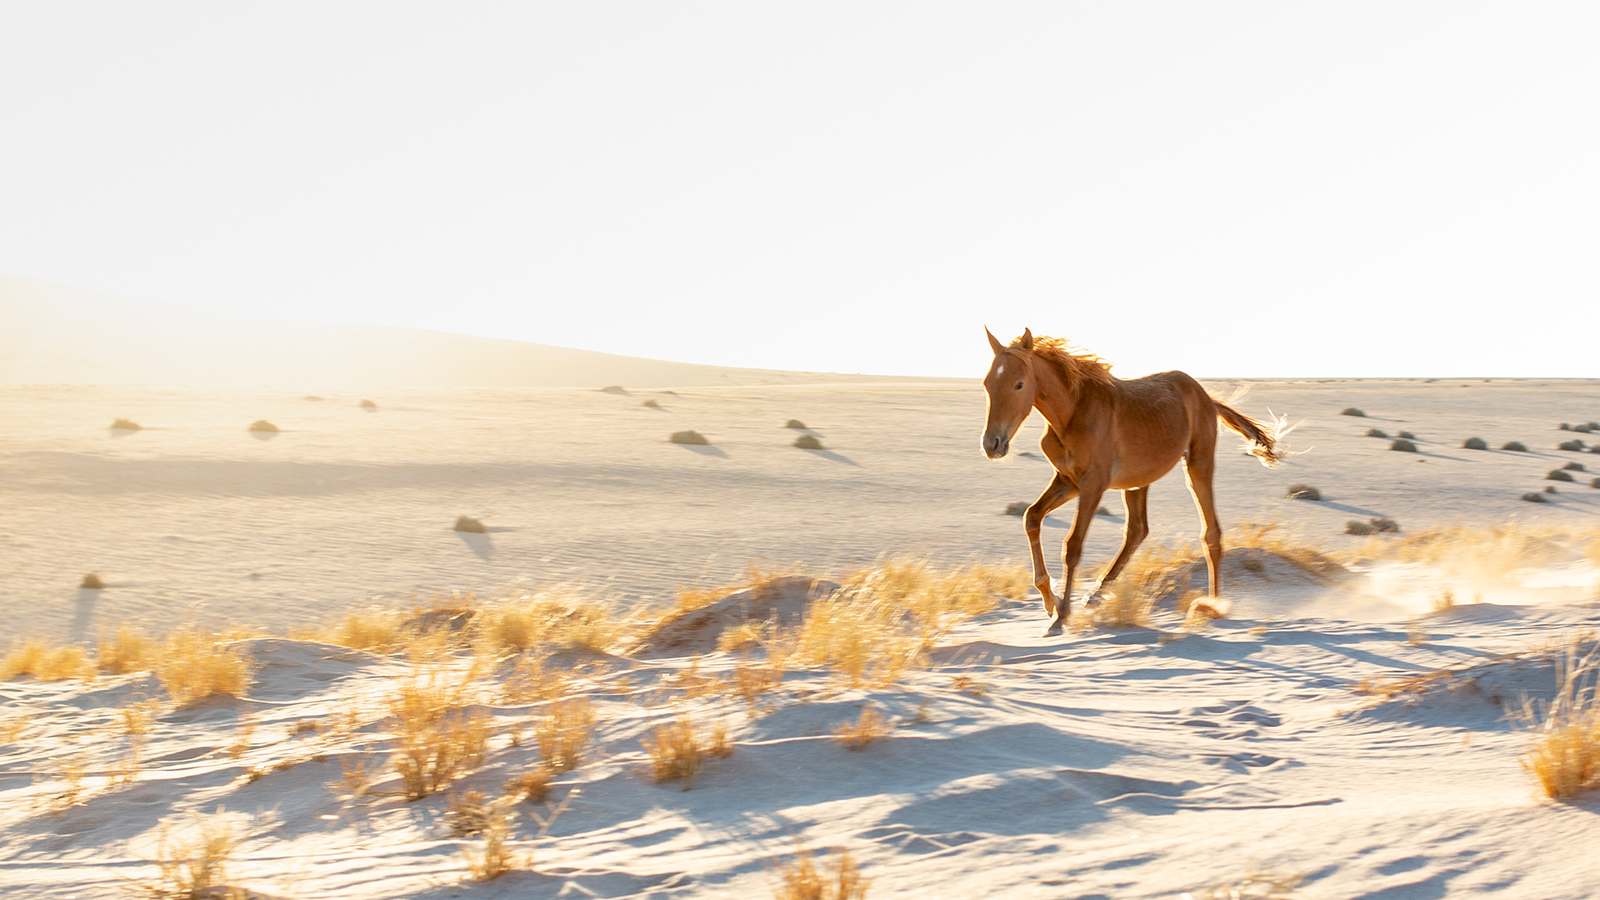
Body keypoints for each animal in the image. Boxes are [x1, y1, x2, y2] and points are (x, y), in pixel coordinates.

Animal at [979, 325, 1280, 634]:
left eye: (1018, 384)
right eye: (987, 384)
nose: (992, 444)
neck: (1073, 413)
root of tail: (1206, 397)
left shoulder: (1093, 485)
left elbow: (1073, 545)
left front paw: (1060, 617)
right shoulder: (1068, 481)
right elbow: (1032, 517)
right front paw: (1050, 601)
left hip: (1198, 465)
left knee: (1211, 533)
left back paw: (1213, 605)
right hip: (1136, 481)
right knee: (1137, 530)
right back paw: (1096, 594)